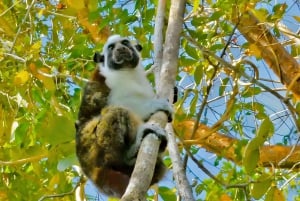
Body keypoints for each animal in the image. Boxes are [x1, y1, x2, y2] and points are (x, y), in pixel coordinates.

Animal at [75, 35, 173, 198]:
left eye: (125, 43)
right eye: (111, 47)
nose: (120, 49)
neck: (127, 71)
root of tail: (88, 169)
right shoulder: (112, 81)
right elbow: (120, 103)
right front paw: (154, 105)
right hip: (90, 146)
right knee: (116, 112)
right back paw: (128, 155)